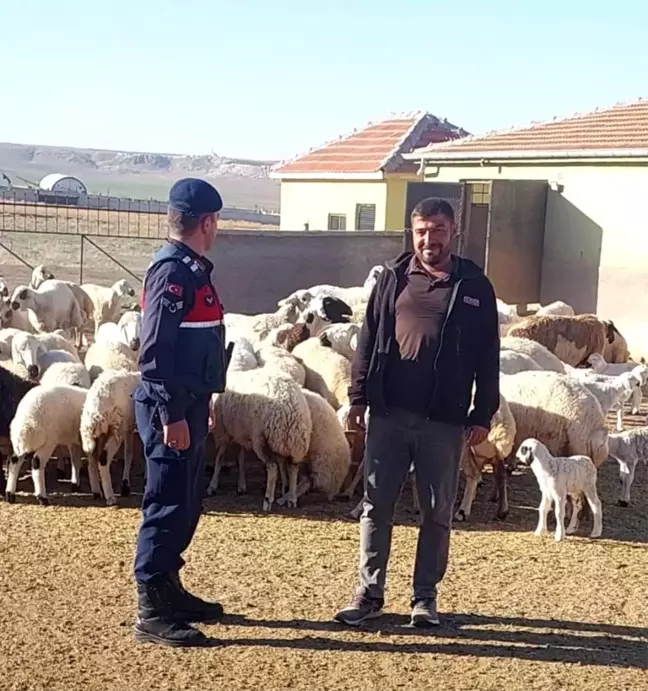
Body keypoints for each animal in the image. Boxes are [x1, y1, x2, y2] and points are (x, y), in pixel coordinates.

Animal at [79, 370, 139, 506]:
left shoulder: (128, 427)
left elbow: (129, 453)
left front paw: (125, 485)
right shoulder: (126, 428)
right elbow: (130, 453)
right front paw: (125, 486)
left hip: (94, 435)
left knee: (91, 460)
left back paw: (96, 492)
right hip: (114, 429)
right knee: (103, 460)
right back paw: (110, 496)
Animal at [206, 370, 310, 510]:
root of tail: (292, 410)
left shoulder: (225, 433)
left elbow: (220, 458)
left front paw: (213, 485)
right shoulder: (242, 433)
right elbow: (240, 459)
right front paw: (241, 485)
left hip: (261, 440)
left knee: (272, 468)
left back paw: (268, 500)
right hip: (292, 443)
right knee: (292, 468)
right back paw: (291, 498)